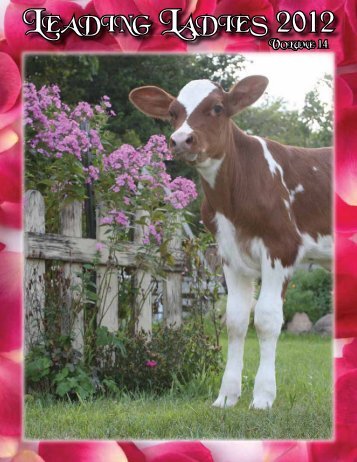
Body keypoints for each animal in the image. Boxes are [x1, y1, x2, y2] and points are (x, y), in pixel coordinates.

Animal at [130, 76, 330, 412]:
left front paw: (263, 396)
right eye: (172, 112)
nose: (181, 140)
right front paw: (227, 396)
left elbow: (266, 319)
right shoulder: (229, 255)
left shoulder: (281, 247)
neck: (233, 198)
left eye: (217, 108)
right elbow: (235, 320)